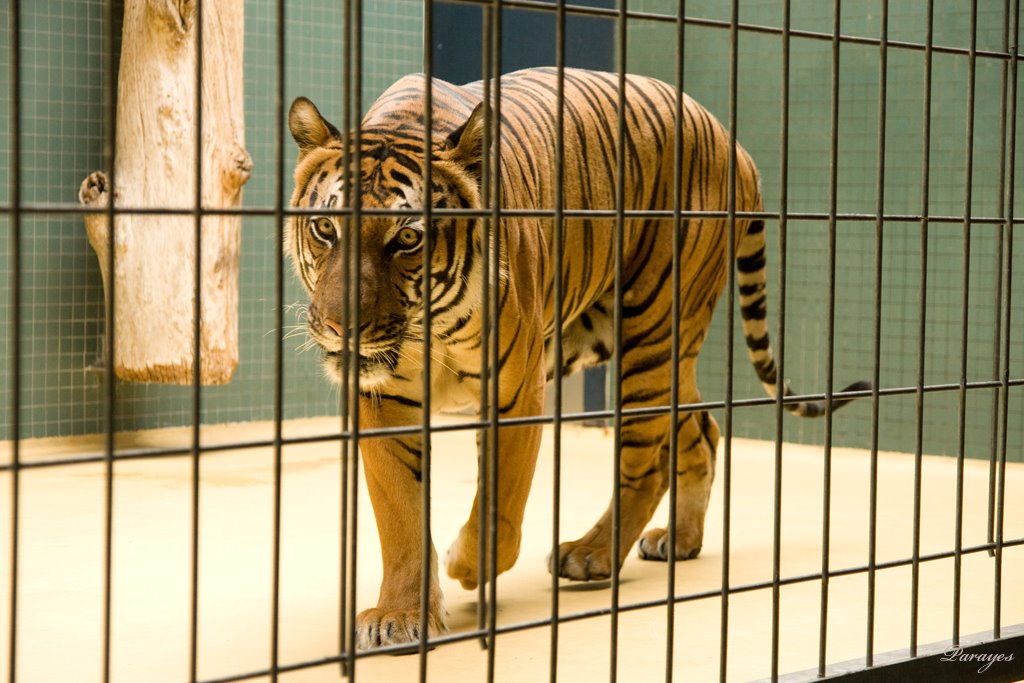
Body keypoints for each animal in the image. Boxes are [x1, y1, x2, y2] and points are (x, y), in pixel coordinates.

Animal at [286, 67, 869, 650]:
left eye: (407, 238)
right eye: (326, 229)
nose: (341, 328)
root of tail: (734, 142)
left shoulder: (517, 393)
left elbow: (499, 511)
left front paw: (464, 564)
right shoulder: (385, 401)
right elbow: (401, 514)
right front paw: (401, 616)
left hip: (653, 331)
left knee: (643, 460)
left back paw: (591, 554)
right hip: (661, 351)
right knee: (701, 428)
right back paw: (679, 539)